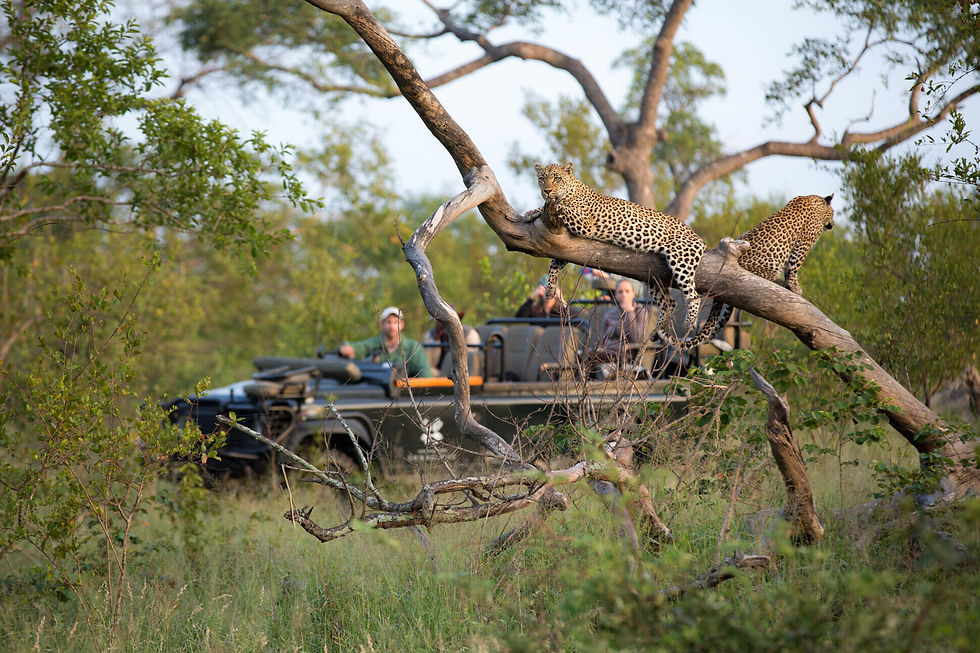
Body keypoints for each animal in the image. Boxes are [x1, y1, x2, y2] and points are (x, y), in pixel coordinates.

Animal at [525, 161, 718, 349]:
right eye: (542, 179)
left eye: (557, 178)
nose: (547, 191)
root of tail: (699, 237)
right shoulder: (564, 244)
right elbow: (554, 263)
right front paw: (550, 290)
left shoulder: (584, 224)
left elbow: (563, 207)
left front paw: (545, 206)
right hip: (654, 279)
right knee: (670, 303)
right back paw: (657, 331)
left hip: (681, 259)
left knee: (693, 295)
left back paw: (688, 322)